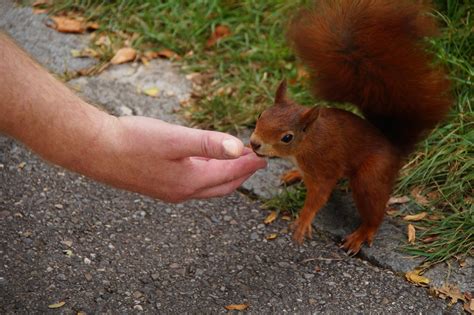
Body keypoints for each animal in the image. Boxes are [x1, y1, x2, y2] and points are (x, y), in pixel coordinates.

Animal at [248, 0, 452, 256]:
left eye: (287, 137)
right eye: (261, 115)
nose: (254, 143)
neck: (308, 143)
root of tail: (393, 147)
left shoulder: (323, 165)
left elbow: (319, 195)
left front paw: (303, 221)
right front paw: (295, 173)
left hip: (370, 176)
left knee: (374, 210)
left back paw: (362, 233)